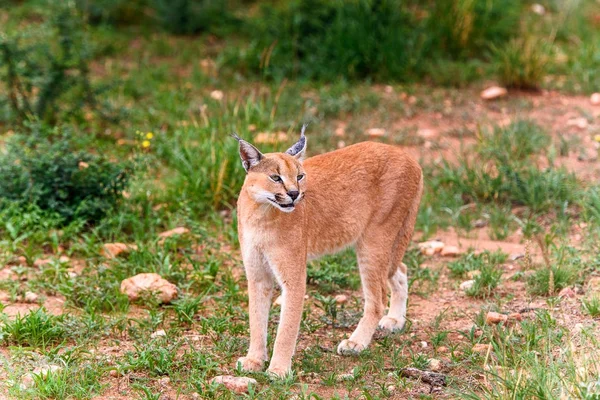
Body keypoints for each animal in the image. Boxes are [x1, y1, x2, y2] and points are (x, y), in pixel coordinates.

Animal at [231, 126, 422, 376]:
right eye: (275, 177)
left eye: (300, 176)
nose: (294, 193)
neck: (260, 212)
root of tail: (409, 157)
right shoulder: (257, 275)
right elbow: (256, 318)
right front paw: (254, 360)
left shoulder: (293, 276)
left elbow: (287, 327)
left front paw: (278, 370)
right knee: (400, 270)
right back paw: (395, 320)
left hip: (374, 239)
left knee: (378, 297)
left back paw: (356, 343)